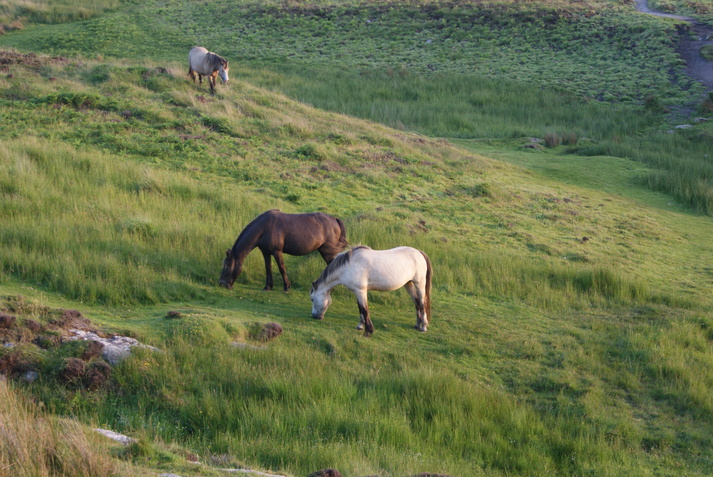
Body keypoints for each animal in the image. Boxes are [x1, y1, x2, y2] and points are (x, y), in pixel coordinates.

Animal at [220, 210, 348, 292]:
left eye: (227, 267)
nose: (221, 283)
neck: (264, 227)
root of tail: (334, 219)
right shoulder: (266, 252)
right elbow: (268, 268)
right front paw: (268, 286)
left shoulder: (277, 252)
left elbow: (282, 268)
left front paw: (286, 287)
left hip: (327, 251)